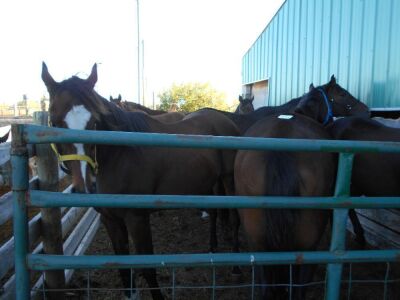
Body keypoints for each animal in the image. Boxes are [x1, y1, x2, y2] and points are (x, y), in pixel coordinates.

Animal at [41, 62, 239, 298]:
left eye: (94, 122)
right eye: (54, 122)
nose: (84, 187)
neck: (120, 155)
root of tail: (224, 120)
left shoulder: (137, 219)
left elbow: (147, 267)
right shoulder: (110, 219)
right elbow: (123, 266)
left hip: (228, 179)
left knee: (233, 216)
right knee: (215, 211)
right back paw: (212, 248)